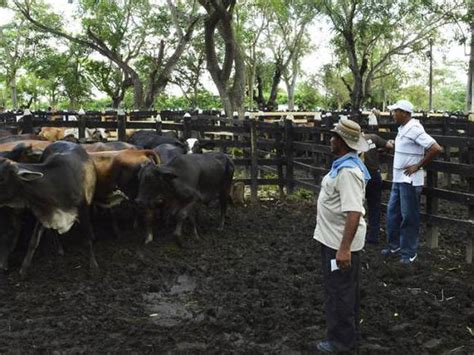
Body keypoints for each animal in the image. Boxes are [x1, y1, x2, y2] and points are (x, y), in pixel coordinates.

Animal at [0, 140, 98, 280]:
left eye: (2, 178)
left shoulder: (83, 210)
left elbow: (87, 239)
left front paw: (93, 267)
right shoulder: (43, 212)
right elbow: (33, 241)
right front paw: (23, 270)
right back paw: (59, 248)